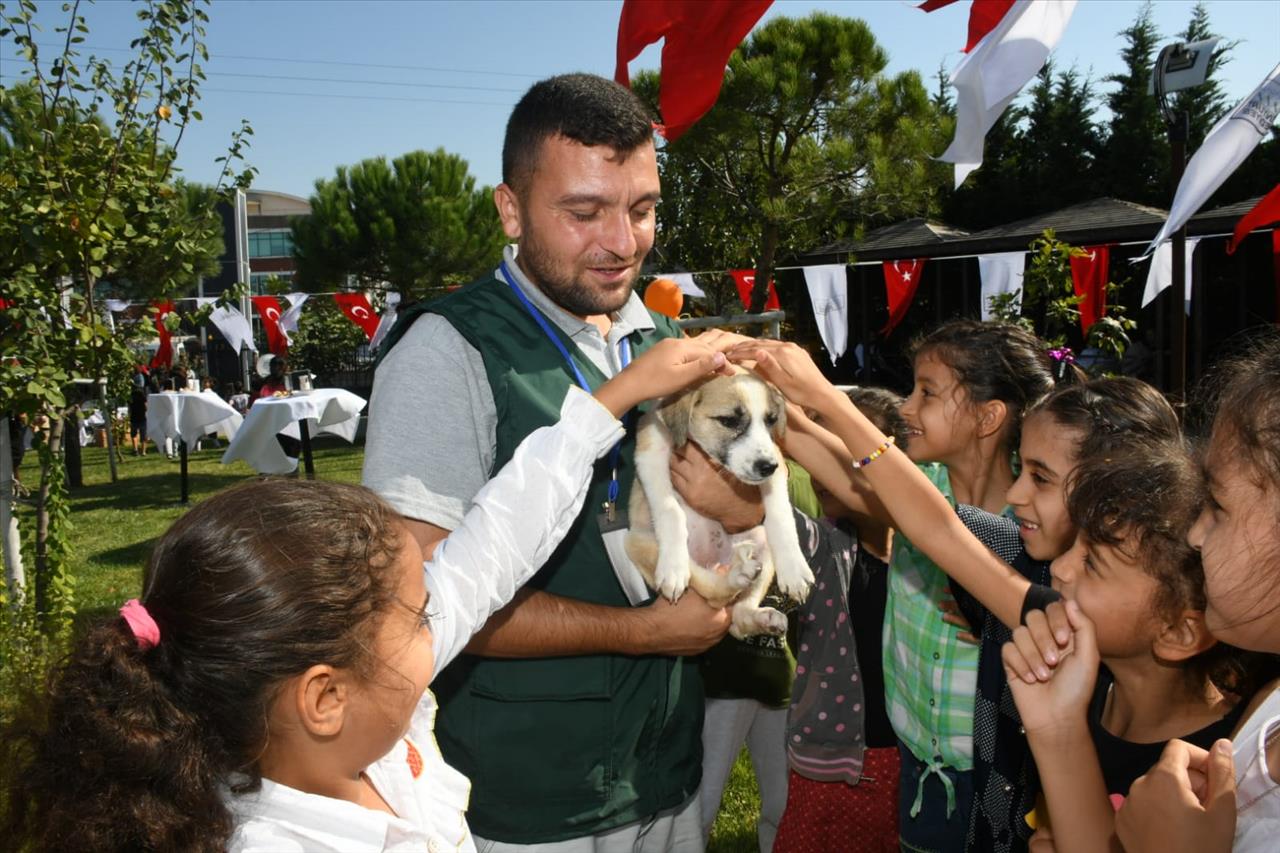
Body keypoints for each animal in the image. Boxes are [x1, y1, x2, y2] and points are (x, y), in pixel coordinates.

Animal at [624, 368, 814, 635]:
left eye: (771, 421)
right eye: (729, 421)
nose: (766, 467)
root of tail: (715, 561)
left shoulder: (776, 461)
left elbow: (781, 516)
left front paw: (795, 569)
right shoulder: (650, 452)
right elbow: (670, 509)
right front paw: (673, 566)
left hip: (761, 544)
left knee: (738, 617)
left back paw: (761, 614)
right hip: (639, 542)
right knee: (713, 594)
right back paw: (732, 576)